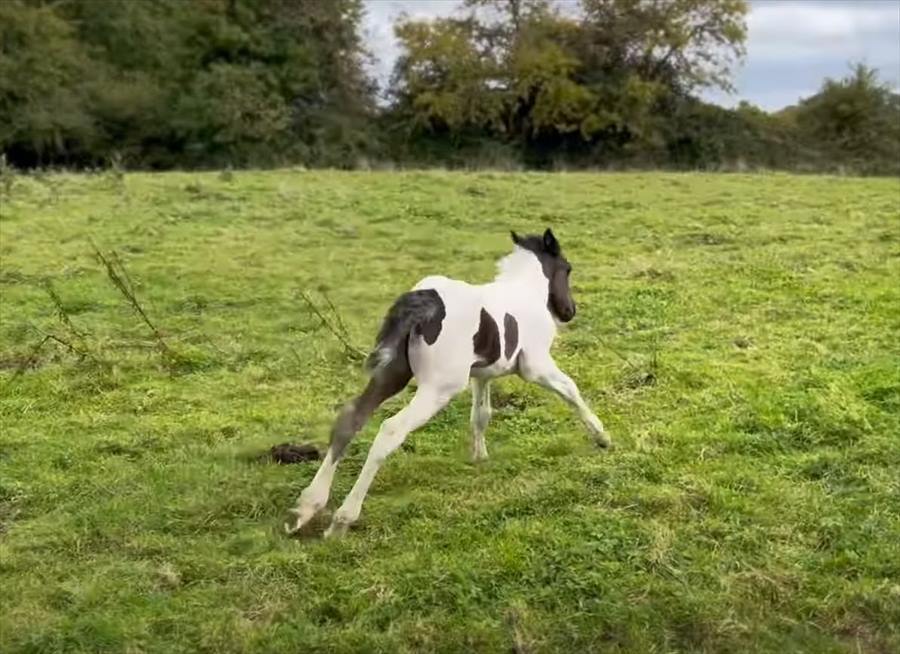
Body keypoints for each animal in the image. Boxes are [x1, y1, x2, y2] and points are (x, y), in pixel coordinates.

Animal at [288, 229, 612, 540]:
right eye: (567, 268)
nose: (569, 311)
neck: (524, 292)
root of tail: (425, 299)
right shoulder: (536, 366)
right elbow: (571, 390)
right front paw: (602, 437)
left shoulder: (482, 374)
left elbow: (481, 415)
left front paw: (479, 457)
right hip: (438, 388)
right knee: (390, 430)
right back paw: (341, 520)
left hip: (393, 373)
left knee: (351, 417)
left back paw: (305, 508)